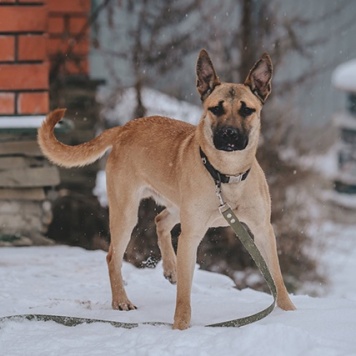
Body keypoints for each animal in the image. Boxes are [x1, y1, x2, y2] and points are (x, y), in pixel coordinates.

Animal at [38, 48, 294, 330]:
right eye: (216, 109)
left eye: (247, 110)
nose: (229, 135)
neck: (226, 176)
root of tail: (125, 127)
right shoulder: (191, 235)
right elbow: (184, 292)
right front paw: (180, 326)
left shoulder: (262, 229)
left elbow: (277, 276)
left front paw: (289, 312)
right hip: (126, 213)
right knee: (113, 256)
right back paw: (121, 300)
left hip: (174, 205)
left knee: (160, 221)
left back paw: (170, 268)